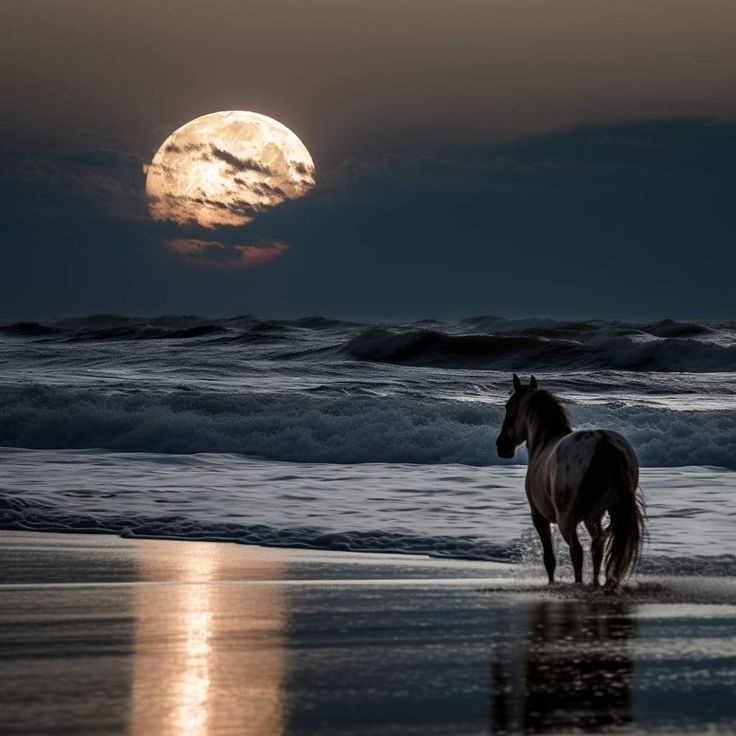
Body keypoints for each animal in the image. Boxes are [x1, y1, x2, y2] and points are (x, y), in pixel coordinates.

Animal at [494, 376, 644, 588]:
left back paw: (580, 583)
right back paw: (597, 583)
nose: (501, 446)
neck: (544, 443)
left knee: (577, 550)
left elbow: (549, 558)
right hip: (598, 514)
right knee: (598, 545)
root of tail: (603, 443)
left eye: (508, 406)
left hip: (567, 522)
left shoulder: (539, 517)